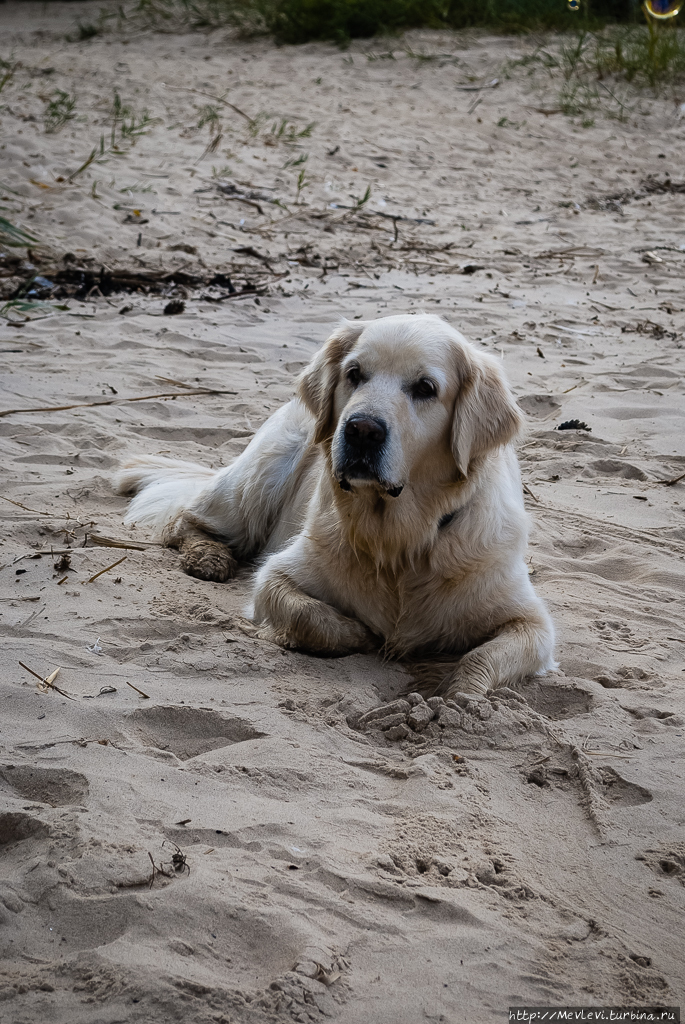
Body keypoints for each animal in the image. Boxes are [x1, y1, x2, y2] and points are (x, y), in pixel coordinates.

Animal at [116, 311, 557, 696]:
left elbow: (481, 657)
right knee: (186, 519)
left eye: (426, 388)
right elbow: (310, 615)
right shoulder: (279, 574)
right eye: (354, 374)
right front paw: (363, 634)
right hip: (261, 475)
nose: (361, 430)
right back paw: (209, 557)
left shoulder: (531, 622)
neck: (398, 541)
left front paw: (456, 694)